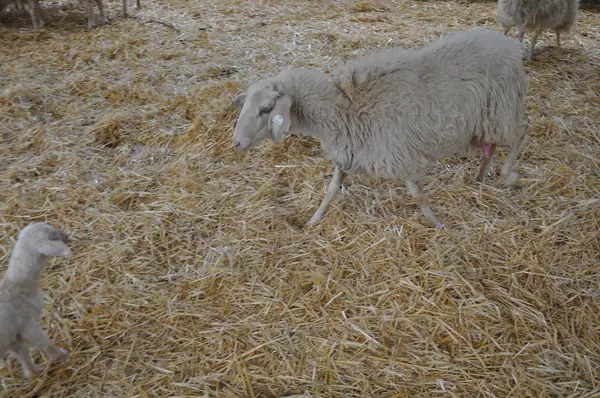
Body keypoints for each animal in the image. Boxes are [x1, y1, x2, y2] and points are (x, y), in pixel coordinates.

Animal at [0, 222, 71, 378]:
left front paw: (33, 372)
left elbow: (23, 355)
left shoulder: (15, 336)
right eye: (53, 236)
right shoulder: (28, 327)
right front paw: (62, 355)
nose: (67, 237)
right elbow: (44, 343)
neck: (18, 286)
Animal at [232, 29, 528, 229]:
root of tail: (509, 44)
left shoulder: (403, 156)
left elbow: (418, 196)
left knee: (521, 132)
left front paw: (437, 224)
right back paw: (479, 177)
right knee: (490, 146)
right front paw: (312, 220)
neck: (342, 112)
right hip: (481, 123)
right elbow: (330, 191)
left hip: (502, 108)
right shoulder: (347, 156)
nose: (236, 143)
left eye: (266, 109)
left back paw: (508, 174)